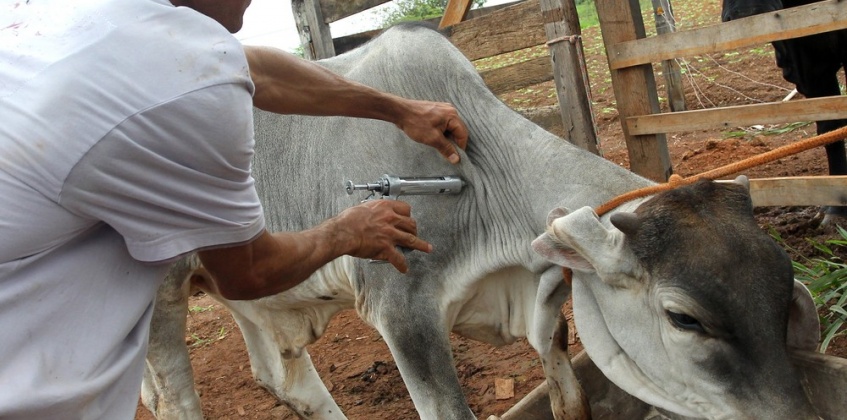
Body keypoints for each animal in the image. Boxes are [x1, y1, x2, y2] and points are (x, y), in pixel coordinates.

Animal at [142, 23, 824, 420]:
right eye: (684, 318)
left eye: (781, 290)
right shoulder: (404, 314)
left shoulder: (544, 304)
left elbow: (568, 392)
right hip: (163, 293)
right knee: (174, 395)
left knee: (282, 376)